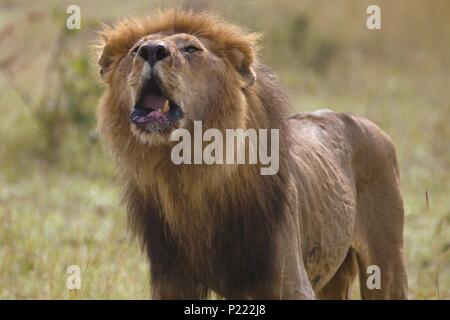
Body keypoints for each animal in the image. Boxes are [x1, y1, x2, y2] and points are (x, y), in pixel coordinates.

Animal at [96, 10, 410, 300]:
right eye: (136, 49)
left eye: (191, 49)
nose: (151, 50)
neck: (188, 172)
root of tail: (364, 122)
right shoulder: (172, 282)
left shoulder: (290, 283)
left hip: (386, 265)